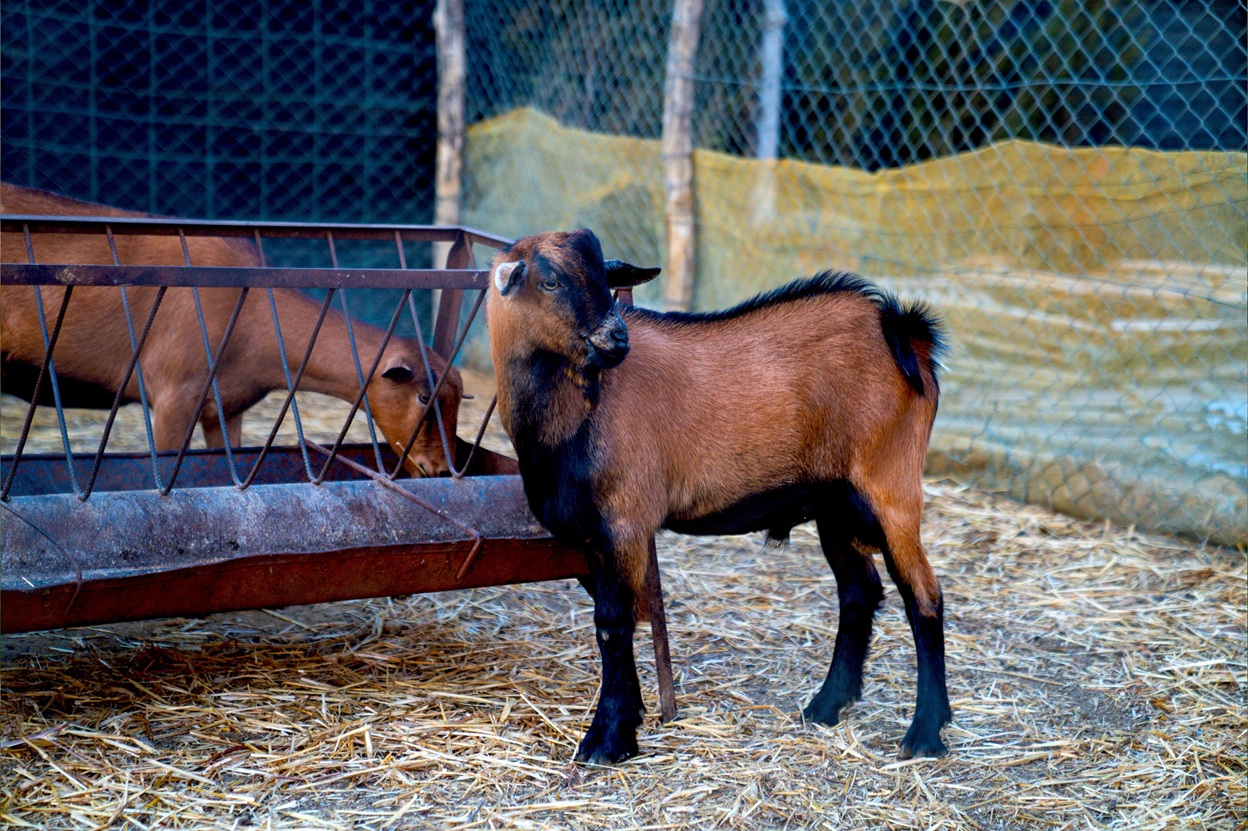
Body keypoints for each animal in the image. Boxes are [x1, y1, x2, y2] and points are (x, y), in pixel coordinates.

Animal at [486, 229, 950, 764]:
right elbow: (614, 621)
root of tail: (899, 327)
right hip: (835, 502)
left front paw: (607, 739)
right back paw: (826, 705)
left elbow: (613, 624)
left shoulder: (625, 522)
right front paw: (630, 718)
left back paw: (925, 733)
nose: (617, 338)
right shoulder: (591, 535)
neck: (576, 415)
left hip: (891, 487)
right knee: (859, 593)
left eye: (604, 277)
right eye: (550, 280)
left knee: (923, 596)